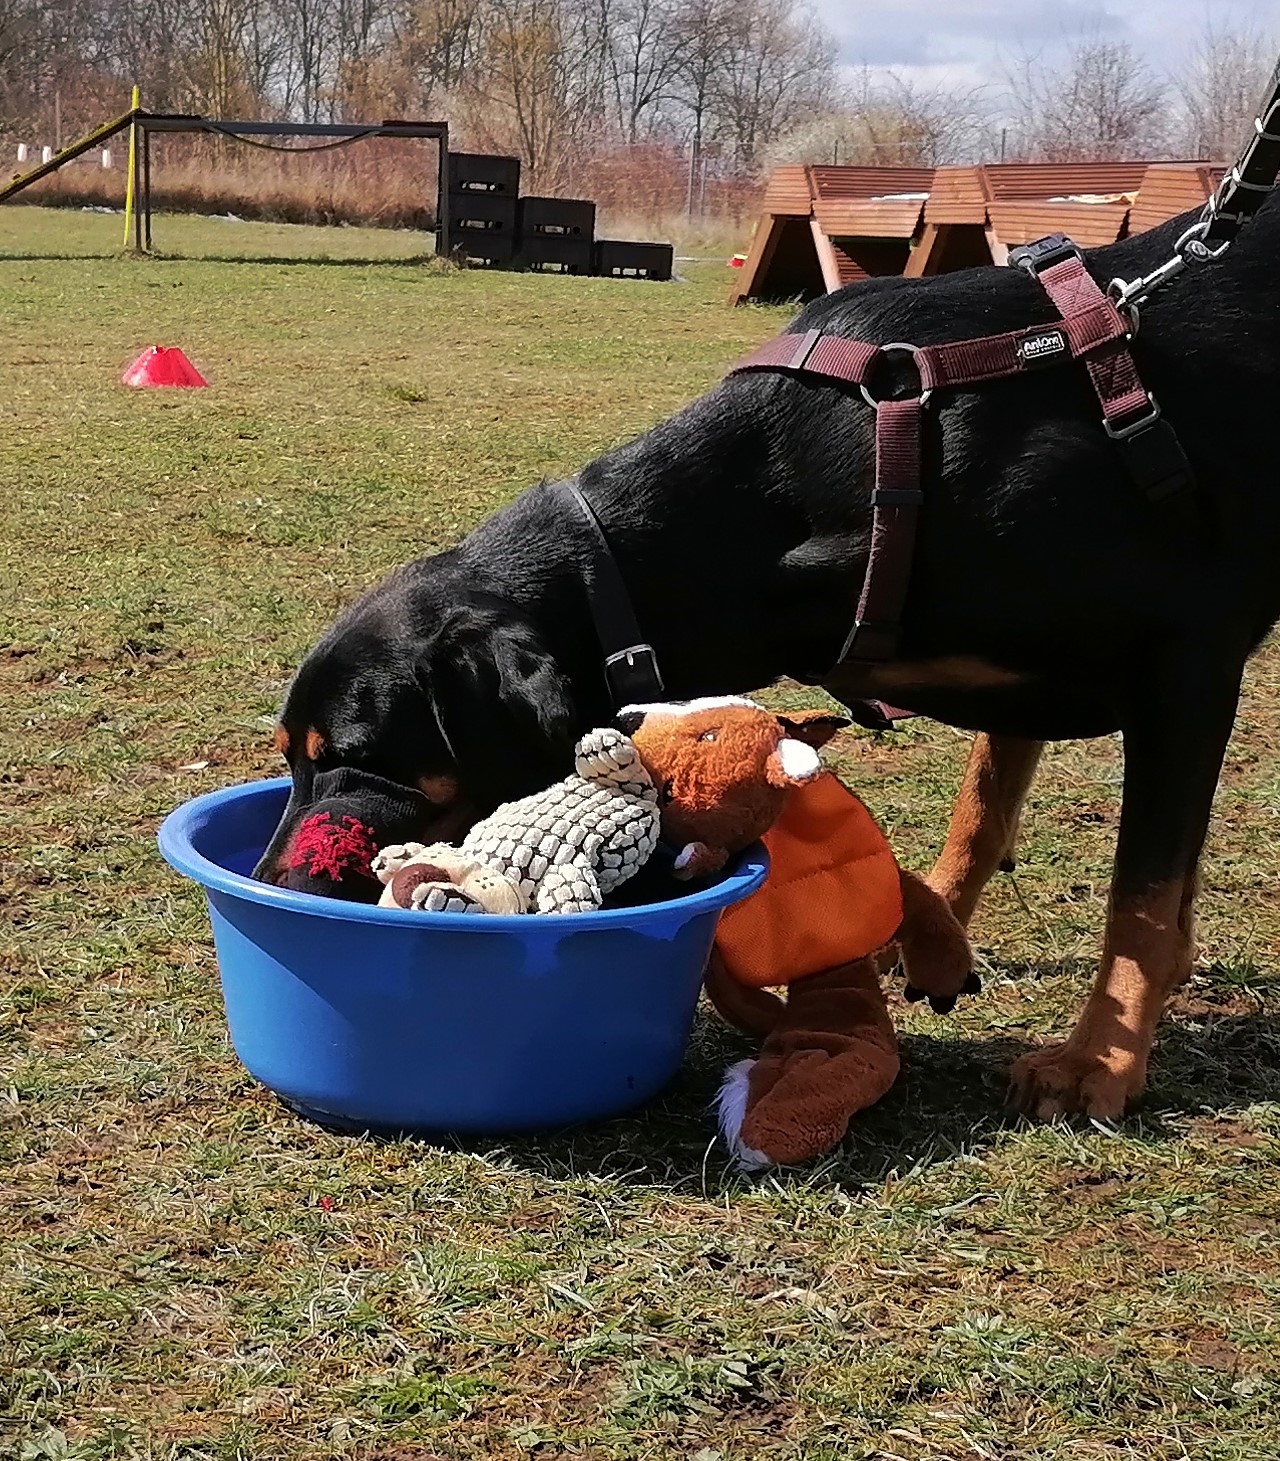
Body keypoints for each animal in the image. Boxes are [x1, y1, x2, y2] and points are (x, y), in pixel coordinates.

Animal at [257, 194, 1280, 1122]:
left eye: (350, 759)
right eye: (293, 760)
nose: (268, 884)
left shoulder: (1187, 661)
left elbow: (1141, 893)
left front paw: (1100, 1059)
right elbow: (978, 817)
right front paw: (932, 931)